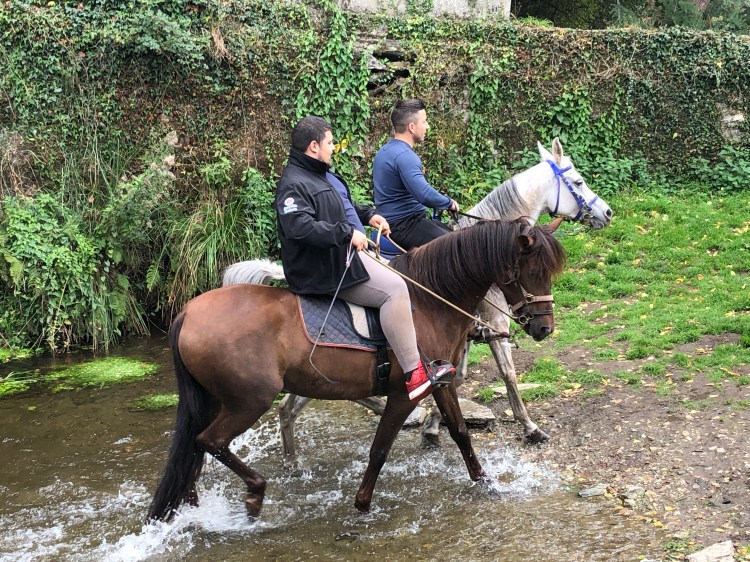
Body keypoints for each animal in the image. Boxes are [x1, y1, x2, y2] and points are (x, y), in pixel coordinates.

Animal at [147, 219, 567, 522]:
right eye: (532, 271)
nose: (544, 328)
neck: (428, 301)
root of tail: (187, 312)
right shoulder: (404, 393)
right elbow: (379, 449)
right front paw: (363, 505)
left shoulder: (441, 383)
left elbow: (462, 434)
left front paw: (486, 483)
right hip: (247, 401)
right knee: (209, 441)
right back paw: (255, 492)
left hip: (220, 400)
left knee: (194, 451)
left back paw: (193, 506)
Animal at [223, 138, 611, 464]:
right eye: (577, 182)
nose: (606, 213)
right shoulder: (494, 328)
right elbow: (508, 375)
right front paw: (529, 427)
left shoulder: (462, 337)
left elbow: (457, 378)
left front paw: (433, 425)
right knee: (297, 404)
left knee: (295, 406)